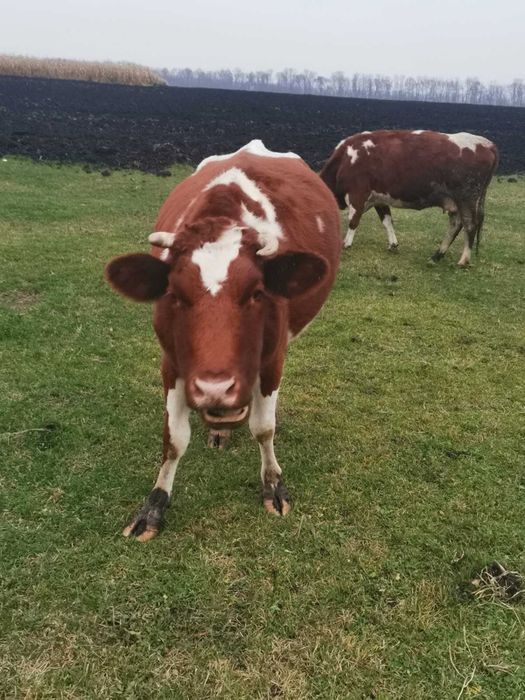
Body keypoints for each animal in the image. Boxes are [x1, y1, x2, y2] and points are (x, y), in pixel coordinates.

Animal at [105, 139, 341, 541]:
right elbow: (173, 438)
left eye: (257, 293)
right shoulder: (171, 360)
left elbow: (263, 427)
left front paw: (272, 483)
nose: (216, 388)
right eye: (175, 295)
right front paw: (154, 504)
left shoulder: (273, 358)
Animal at [319, 130, 499, 266]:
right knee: (455, 225)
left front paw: (346, 243)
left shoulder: (358, 193)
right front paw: (393, 244)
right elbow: (387, 221)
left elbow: (353, 221)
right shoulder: (379, 199)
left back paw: (463, 260)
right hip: (456, 202)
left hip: (467, 198)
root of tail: (486, 143)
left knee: (470, 225)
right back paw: (437, 255)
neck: (345, 159)